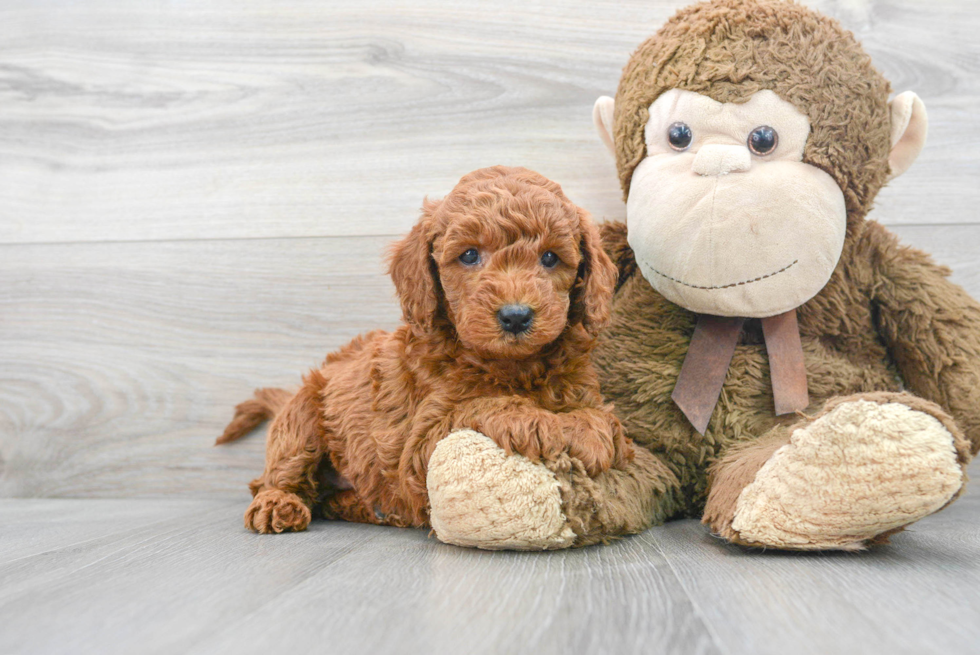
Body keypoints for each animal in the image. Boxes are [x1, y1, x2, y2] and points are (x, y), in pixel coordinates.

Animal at [218, 167, 632, 536]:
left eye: (549, 258)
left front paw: (590, 429)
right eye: (469, 255)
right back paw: (277, 504)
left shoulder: (580, 386)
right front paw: (541, 422)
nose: (515, 316)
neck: (514, 367)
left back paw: (370, 508)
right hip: (301, 421)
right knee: (276, 475)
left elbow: (605, 419)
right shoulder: (418, 444)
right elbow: (481, 404)